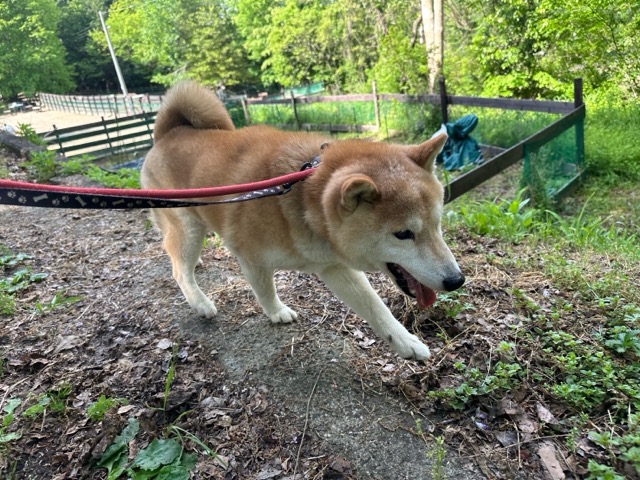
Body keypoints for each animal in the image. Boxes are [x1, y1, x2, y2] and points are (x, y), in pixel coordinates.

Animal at [141, 81, 465, 360]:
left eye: (437, 225)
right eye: (403, 234)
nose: (456, 280)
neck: (302, 198)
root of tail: (169, 133)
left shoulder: (334, 266)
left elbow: (375, 308)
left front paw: (406, 342)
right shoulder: (251, 258)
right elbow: (265, 290)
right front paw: (276, 312)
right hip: (187, 226)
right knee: (178, 269)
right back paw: (200, 301)